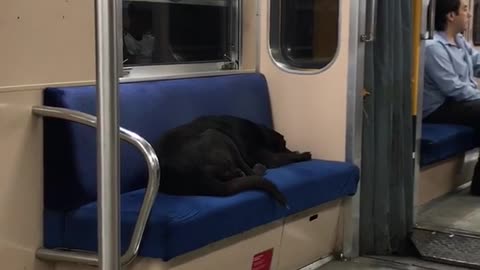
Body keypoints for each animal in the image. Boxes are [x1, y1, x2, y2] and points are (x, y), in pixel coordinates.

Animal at [153, 115, 312, 206]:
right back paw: (257, 169)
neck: (259, 132)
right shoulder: (266, 156)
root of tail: (192, 177)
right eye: (283, 145)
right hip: (218, 135)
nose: (291, 149)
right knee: (251, 172)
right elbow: (283, 157)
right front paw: (303, 154)